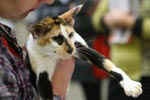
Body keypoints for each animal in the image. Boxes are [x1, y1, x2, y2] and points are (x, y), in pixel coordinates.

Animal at [13, 5, 142, 100]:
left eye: (70, 34)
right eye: (57, 39)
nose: (70, 49)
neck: (55, 56)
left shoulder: (80, 46)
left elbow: (107, 64)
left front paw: (130, 85)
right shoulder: (39, 68)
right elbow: (45, 91)